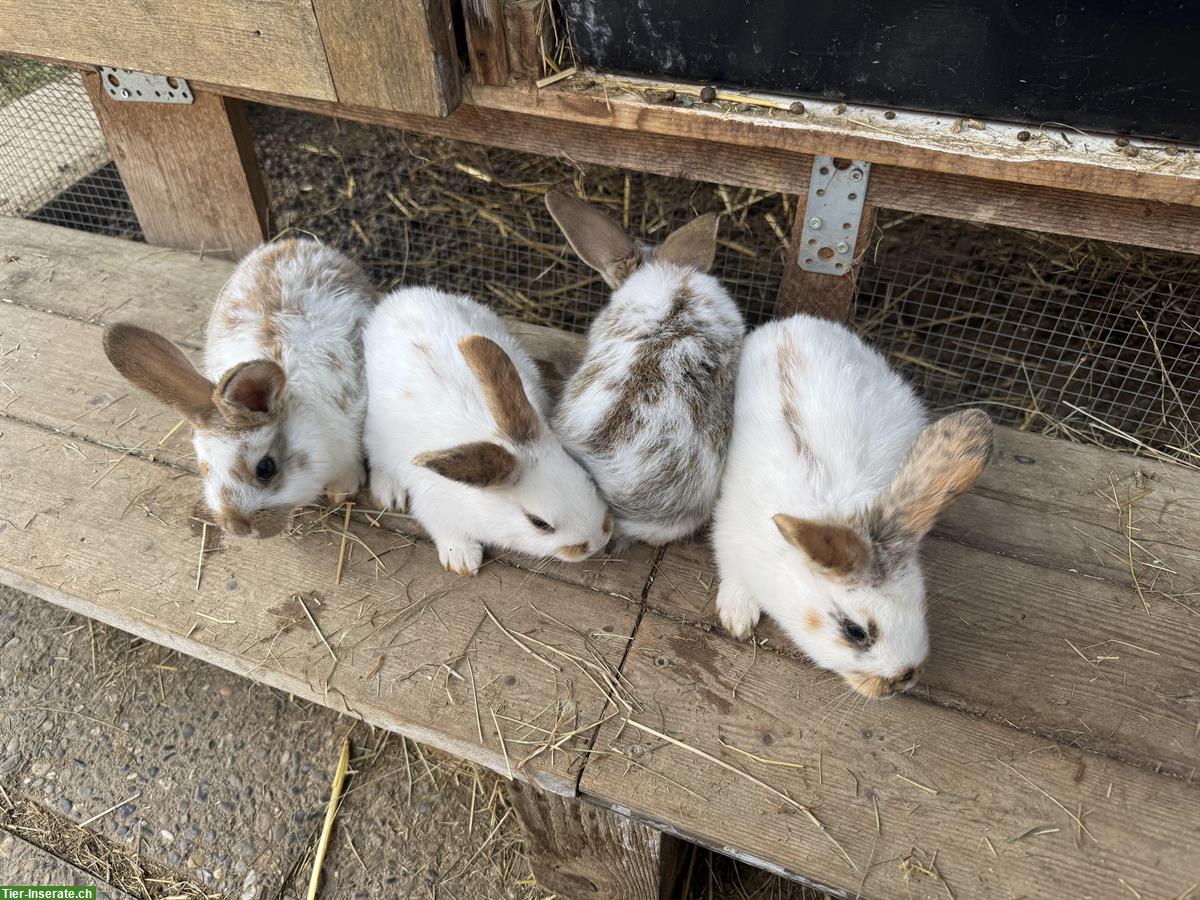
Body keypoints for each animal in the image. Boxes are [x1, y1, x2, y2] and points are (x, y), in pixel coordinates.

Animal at [363, 287, 613, 576]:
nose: (598, 541)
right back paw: (389, 494)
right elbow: (446, 530)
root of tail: (404, 296)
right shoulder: (432, 505)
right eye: (539, 523)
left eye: (588, 479)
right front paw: (462, 560)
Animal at [711, 314, 993, 698]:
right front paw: (738, 619)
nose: (904, 678)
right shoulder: (728, 537)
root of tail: (795, 321)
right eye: (855, 631)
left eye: (920, 601)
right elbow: (734, 579)